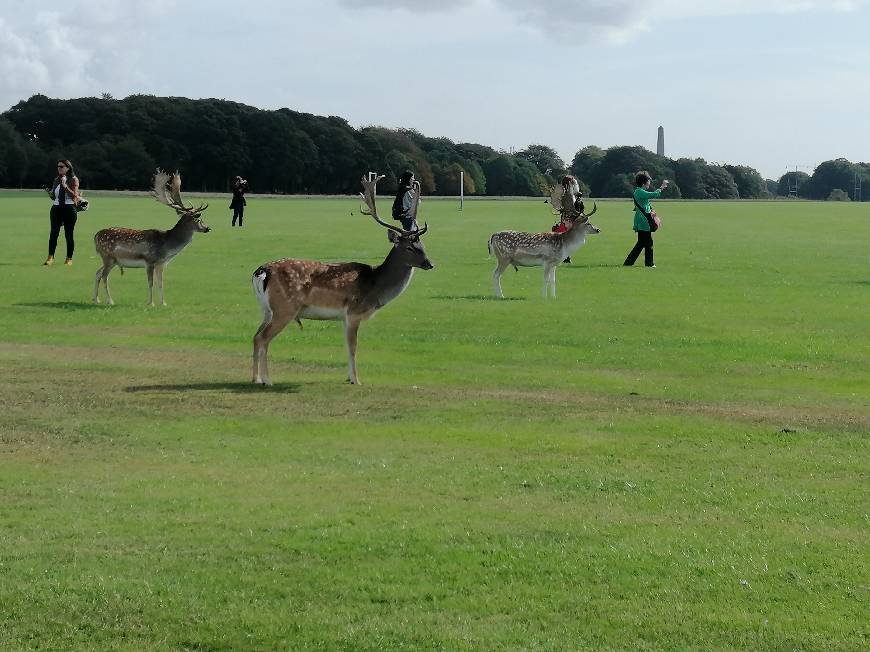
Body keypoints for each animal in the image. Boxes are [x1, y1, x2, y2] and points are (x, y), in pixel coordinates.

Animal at [93, 172, 211, 306]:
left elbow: (161, 283)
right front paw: (151, 303)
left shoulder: (161, 263)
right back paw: (110, 301)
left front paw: (163, 303)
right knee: (104, 276)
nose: (207, 228)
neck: (166, 247)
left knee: (97, 273)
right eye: (198, 219)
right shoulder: (149, 261)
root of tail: (95, 236)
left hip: (112, 260)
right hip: (107, 257)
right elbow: (151, 283)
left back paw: (96, 299)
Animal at [250, 172, 434, 388]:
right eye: (409, 248)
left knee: (256, 336)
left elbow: (346, 346)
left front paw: (348, 377)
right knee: (264, 338)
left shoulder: (344, 317)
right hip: (284, 308)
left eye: (422, 245)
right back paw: (267, 380)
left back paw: (255, 378)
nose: (430, 263)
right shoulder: (354, 312)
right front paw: (356, 380)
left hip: (266, 309)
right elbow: (354, 346)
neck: (375, 287)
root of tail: (262, 271)